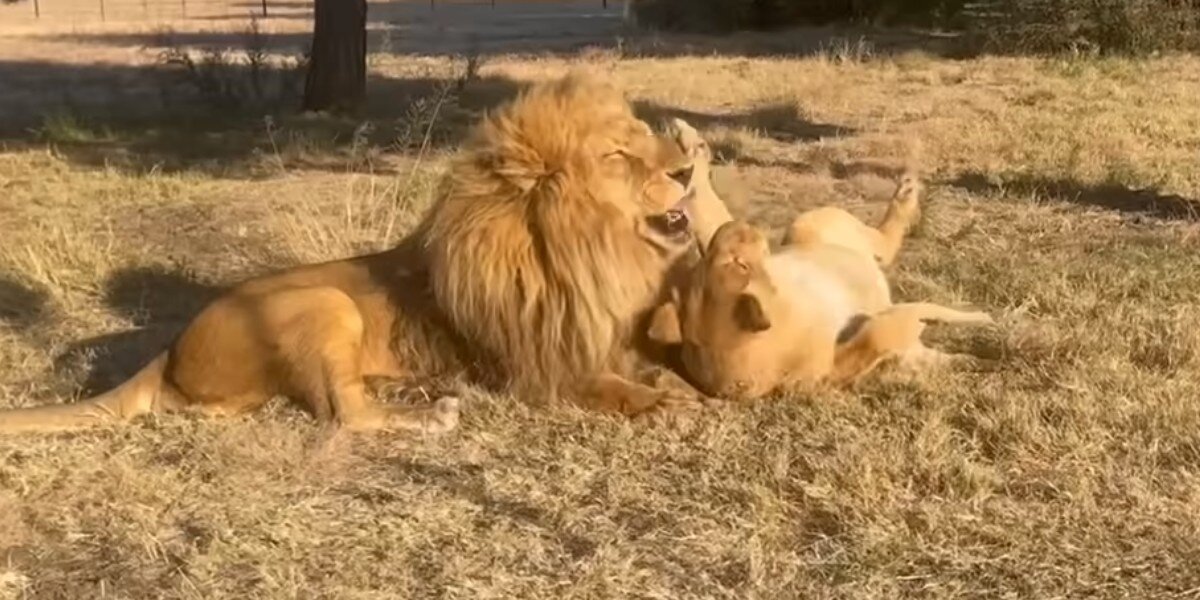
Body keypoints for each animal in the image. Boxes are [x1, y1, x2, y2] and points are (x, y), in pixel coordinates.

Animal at [0, 72, 731, 434]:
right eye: (619, 156)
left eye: (645, 139)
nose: (689, 168)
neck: (595, 251)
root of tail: (171, 347)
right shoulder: (530, 366)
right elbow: (596, 384)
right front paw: (658, 404)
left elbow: (652, 363)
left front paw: (677, 386)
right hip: (325, 302)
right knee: (345, 417)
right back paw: (432, 414)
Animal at [647, 131, 994, 400]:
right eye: (738, 264)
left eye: (727, 261)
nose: (737, 228)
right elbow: (891, 332)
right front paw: (980, 325)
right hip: (822, 225)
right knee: (885, 245)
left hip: (806, 229)